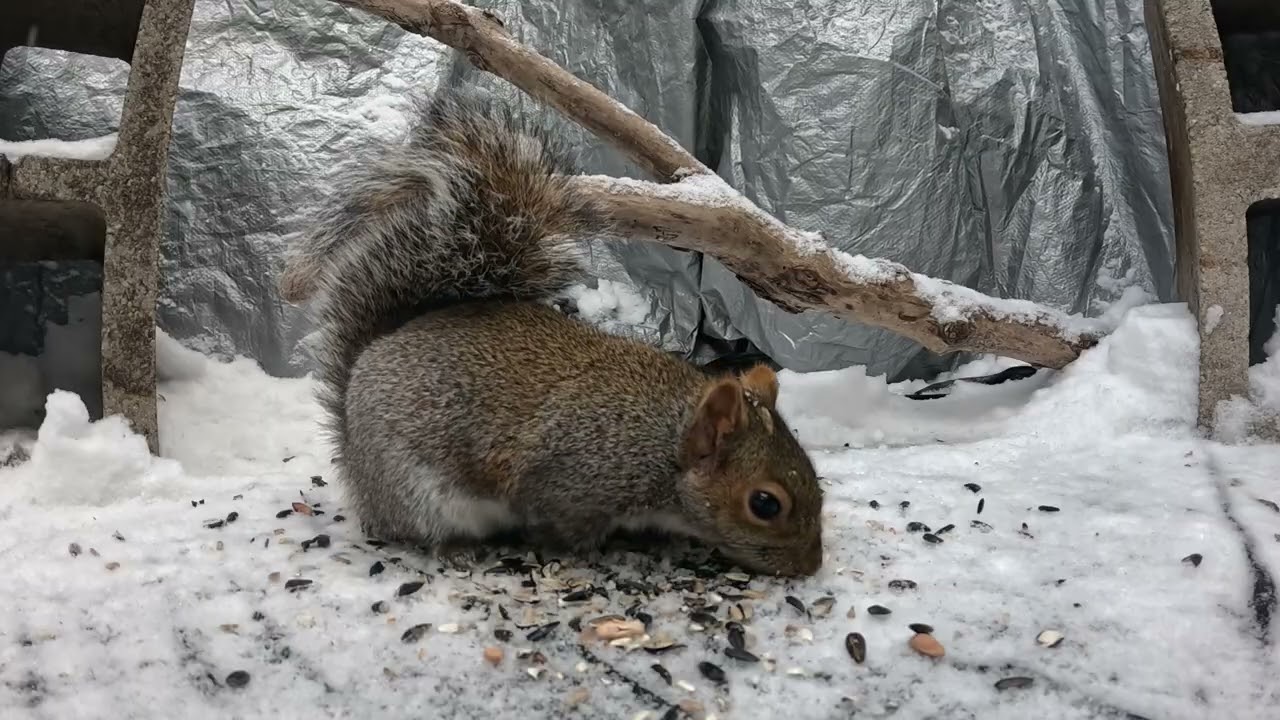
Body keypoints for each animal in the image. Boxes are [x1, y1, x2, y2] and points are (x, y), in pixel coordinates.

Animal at [291, 88, 825, 576]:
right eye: (765, 504)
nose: (811, 565)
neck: (663, 441)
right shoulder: (572, 480)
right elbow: (558, 526)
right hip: (418, 491)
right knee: (417, 529)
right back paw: (455, 548)